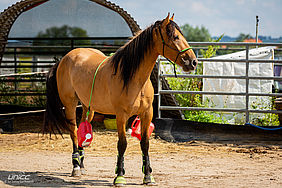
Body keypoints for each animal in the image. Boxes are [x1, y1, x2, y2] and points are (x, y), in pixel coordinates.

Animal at [43, 13, 198, 186]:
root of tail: (64, 59)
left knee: (82, 129)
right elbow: (122, 144)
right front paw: (119, 175)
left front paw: (148, 176)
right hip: (70, 104)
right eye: (175, 37)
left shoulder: (147, 113)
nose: (193, 62)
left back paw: (81, 165)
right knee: (73, 132)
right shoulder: (121, 115)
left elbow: (145, 143)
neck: (133, 78)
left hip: (88, 107)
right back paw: (76, 167)